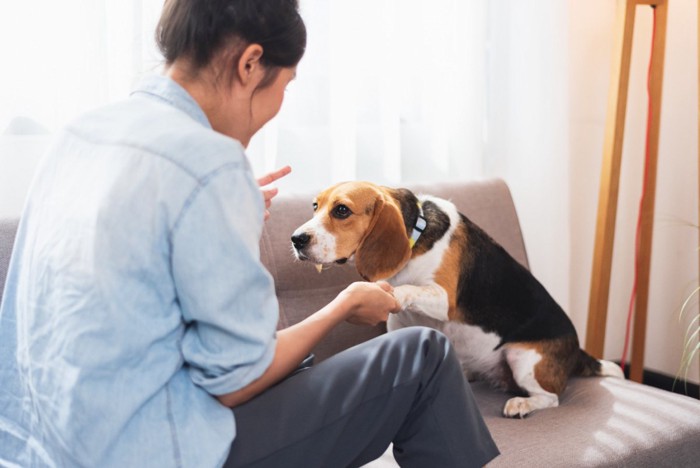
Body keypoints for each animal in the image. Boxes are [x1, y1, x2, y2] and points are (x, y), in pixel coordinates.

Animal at [290, 182, 624, 416]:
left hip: (523, 358)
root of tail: (577, 351)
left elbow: (409, 290)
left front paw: (392, 294)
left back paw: (521, 404)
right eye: (315, 206)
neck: (416, 235)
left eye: (342, 210)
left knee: (551, 398)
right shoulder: (401, 323)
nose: (296, 239)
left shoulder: (442, 299)